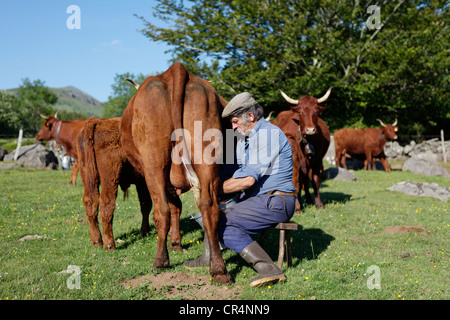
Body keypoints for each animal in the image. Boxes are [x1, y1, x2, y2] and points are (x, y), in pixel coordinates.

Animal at [77, 116, 181, 251]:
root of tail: (99, 122)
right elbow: (173, 206)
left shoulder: (142, 182)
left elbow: (145, 205)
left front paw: (145, 231)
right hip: (110, 177)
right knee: (106, 203)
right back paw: (110, 244)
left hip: (88, 177)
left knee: (90, 202)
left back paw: (97, 241)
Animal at [120, 62, 232, 282]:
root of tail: (176, 70)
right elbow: (177, 206)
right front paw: (176, 242)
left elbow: (170, 206)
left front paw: (173, 244)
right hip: (206, 156)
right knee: (209, 206)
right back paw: (218, 269)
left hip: (154, 162)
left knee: (161, 210)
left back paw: (160, 261)